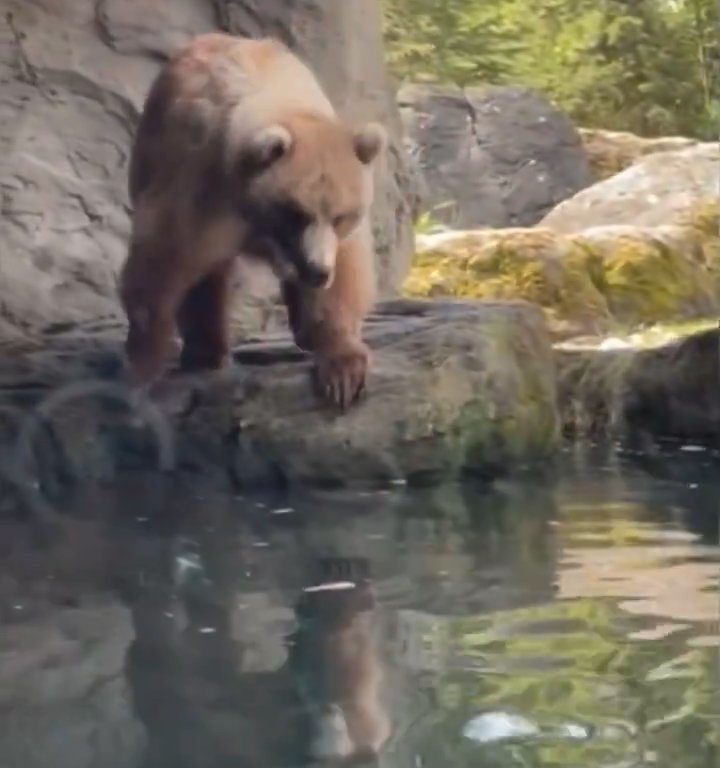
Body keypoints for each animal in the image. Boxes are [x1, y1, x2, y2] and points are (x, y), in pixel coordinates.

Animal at [119, 32, 388, 408]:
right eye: (295, 213)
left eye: (341, 216)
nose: (318, 270)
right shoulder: (201, 187)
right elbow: (162, 259)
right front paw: (143, 364)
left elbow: (347, 274)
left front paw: (343, 368)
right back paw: (207, 351)